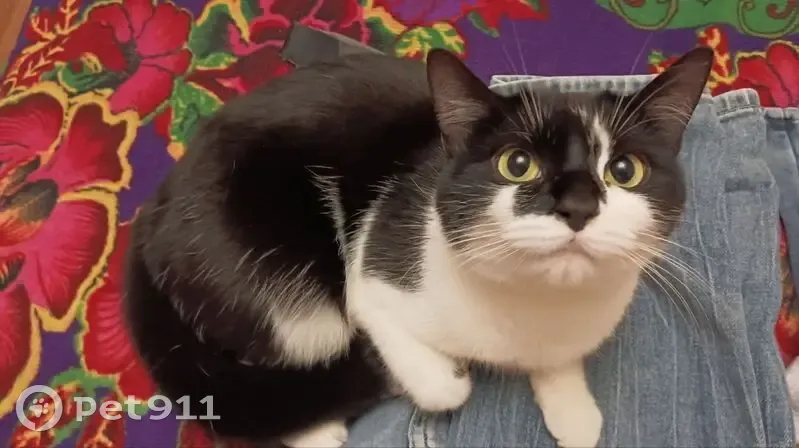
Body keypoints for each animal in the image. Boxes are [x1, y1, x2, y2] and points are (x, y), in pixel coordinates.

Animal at [123, 47, 712, 448]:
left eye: (624, 170)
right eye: (517, 164)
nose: (578, 205)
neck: (532, 309)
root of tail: (150, 215)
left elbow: (561, 360)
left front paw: (574, 411)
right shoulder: (375, 271)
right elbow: (435, 381)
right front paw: (444, 378)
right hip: (290, 296)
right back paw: (319, 430)